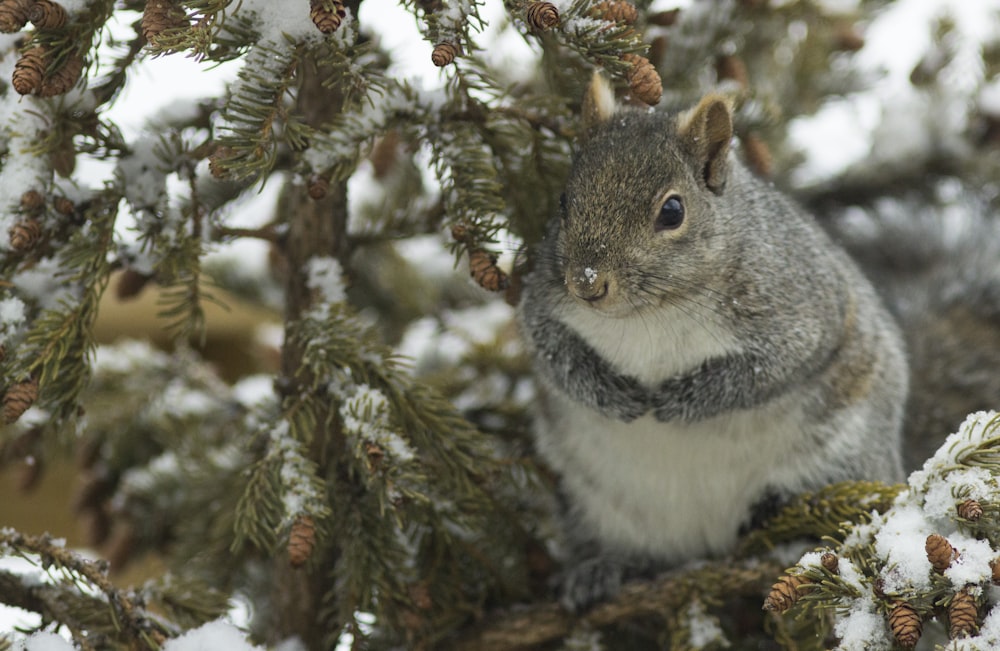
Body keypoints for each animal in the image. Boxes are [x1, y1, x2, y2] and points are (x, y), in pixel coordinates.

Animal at [516, 75, 916, 612]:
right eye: (563, 201)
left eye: (672, 211)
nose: (587, 284)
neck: (652, 312)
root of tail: (707, 542)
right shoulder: (543, 300)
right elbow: (550, 350)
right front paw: (611, 393)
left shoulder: (801, 305)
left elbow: (770, 367)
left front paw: (681, 400)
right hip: (584, 499)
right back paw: (599, 569)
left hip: (845, 453)